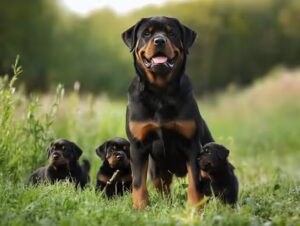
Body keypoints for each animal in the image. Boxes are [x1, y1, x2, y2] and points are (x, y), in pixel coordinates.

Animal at [121, 16, 213, 208]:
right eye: (146, 33)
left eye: (172, 33)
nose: (159, 40)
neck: (160, 92)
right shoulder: (138, 146)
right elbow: (138, 182)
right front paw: (139, 208)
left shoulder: (192, 145)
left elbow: (195, 182)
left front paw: (195, 209)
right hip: (156, 170)